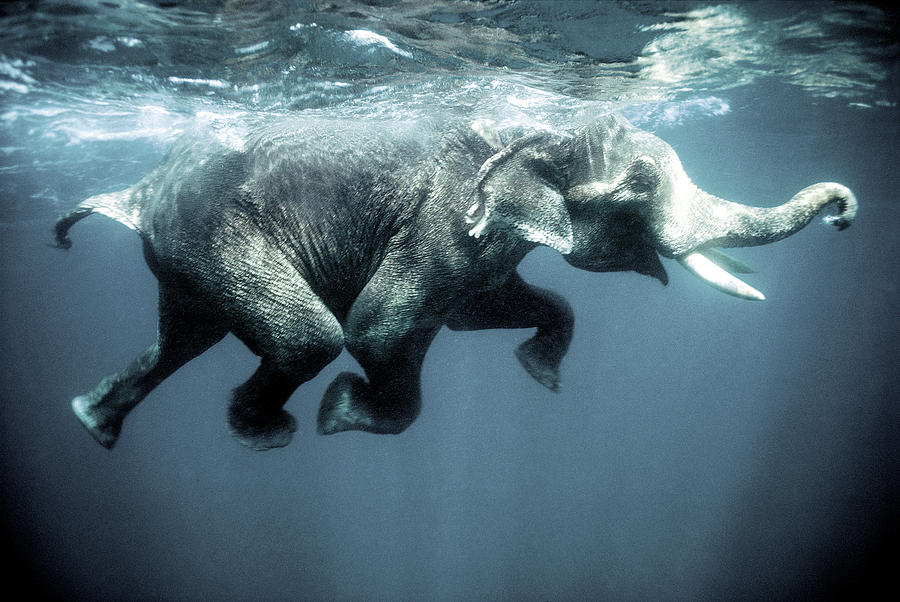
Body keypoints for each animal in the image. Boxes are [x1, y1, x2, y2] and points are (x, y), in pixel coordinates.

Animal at [54, 114, 857, 450]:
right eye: (638, 184)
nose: (846, 216)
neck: (534, 129)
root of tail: (142, 191)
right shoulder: (441, 222)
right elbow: (377, 326)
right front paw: (341, 416)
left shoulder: (484, 247)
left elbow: (487, 310)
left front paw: (542, 376)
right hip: (215, 232)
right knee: (307, 336)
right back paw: (268, 434)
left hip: (186, 255)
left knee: (184, 339)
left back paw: (92, 422)